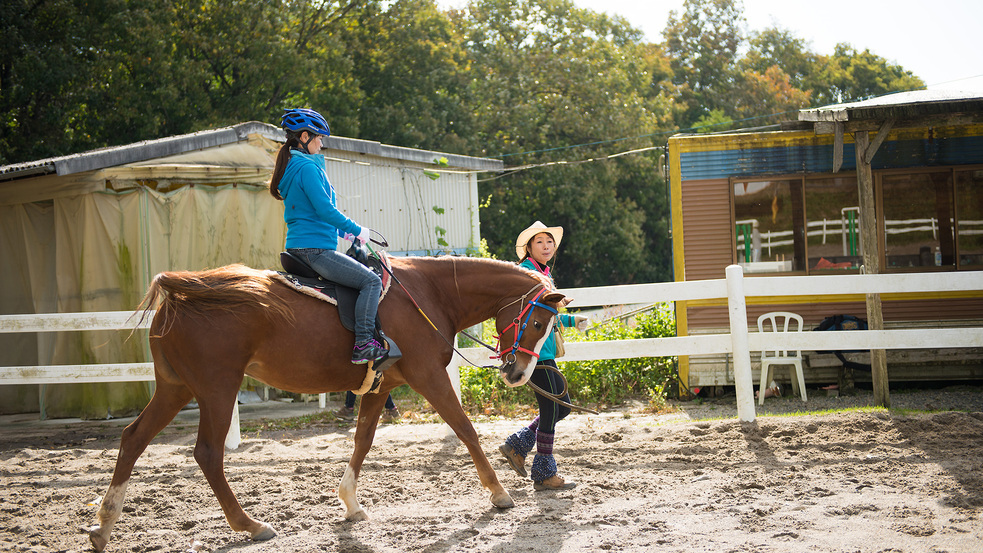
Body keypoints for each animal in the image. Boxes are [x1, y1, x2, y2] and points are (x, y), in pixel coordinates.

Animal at [92, 254, 568, 548]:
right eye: (538, 322)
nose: (519, 374)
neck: (427, 294)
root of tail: (183, 293)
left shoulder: (381, 387)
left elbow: (363, 441)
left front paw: (351, 503)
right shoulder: (428, 377)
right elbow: (465, 428)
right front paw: (499, 493)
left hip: (175, 388)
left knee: (133, 439)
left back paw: (104, 524)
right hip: (215, 390)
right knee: (208, 453)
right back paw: (249, 525)